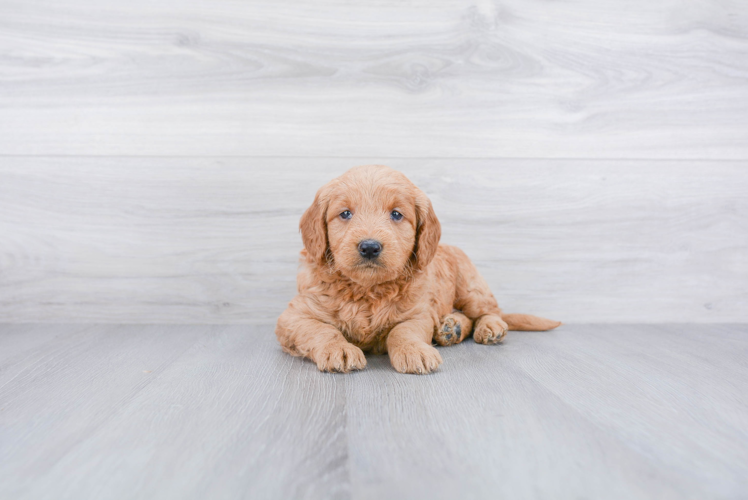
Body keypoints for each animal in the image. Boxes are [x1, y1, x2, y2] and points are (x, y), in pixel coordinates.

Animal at [276, 166, 560, 374]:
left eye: (396, 214)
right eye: (345, 213)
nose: (369, 247)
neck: (366, 291)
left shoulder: (418, 312)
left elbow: (402, 331)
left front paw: (414, 351)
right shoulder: (294, 316)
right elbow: (322, 329)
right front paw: (339, 349)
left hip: (471, 286)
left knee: (491, 312)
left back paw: (487, 328)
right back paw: (451, 328)